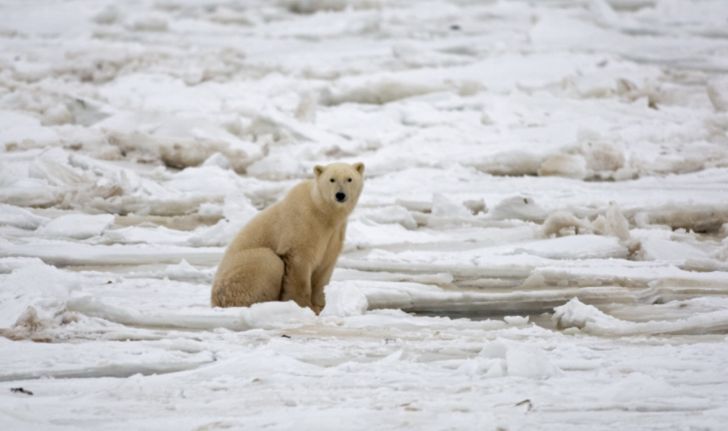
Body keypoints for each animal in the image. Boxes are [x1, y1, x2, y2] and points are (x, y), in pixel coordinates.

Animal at [213, 162, 366, 314]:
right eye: (332, 179)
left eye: (349, 179)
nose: (340, 195)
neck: (322, 211)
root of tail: (214, 301)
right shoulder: (302, 225)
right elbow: (299, 266)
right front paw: (304, 306)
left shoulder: (334, 234)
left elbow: (325, 267)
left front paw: (320, 305)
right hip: (239, 272)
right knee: (267, 260)